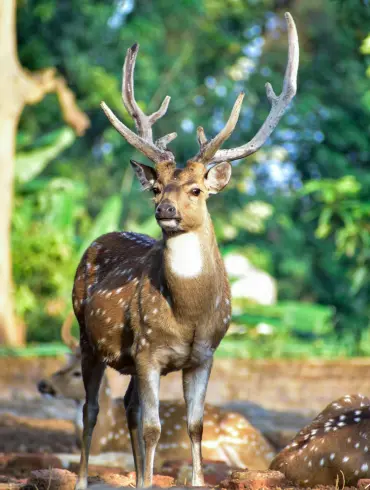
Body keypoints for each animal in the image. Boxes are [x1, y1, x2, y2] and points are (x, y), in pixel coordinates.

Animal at [38, 314, 274, 470]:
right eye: (61, 365)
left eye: (76, 373)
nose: (43, 385)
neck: (106, 432)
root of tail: (267, 447)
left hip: (243, 445)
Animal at [73, 13, 300, 488]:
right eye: (157, 186)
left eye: (196, 188)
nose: (165, 209)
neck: (189, 314)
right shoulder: (148, 351)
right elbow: (156, 427)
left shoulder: (204, 354)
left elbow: (195, 425)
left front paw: (193, 480)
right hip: (87, 335)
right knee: (92, 408)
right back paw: (84, 478)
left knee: (128, 405)